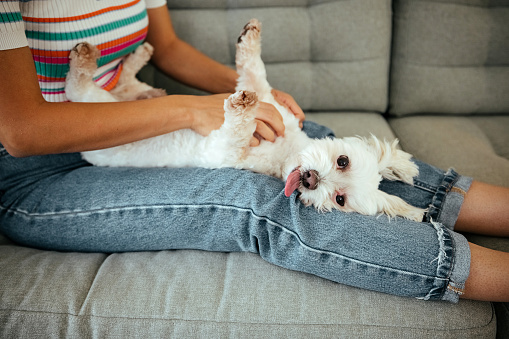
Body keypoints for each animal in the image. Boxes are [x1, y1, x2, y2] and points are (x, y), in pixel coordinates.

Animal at [65, 19, 426, 220]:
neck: (285, 150)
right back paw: (120, 57)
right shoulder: (270, 100)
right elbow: (254, 71)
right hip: (105, 106)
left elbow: (236, 128)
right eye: (342, 160)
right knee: (99, 84)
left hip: (99, 108)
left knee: (86, 85)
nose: (311, 180)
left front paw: (241, 109)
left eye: (340, 200)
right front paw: (250, 39)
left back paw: (110, 60)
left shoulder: (223, 152)